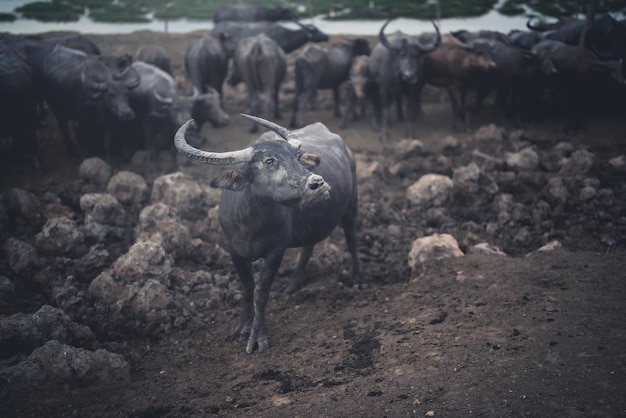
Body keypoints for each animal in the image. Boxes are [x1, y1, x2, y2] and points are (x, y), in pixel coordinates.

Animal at [173, 114, 364, 352]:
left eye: (297, 157)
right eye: (269, 161)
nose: (318, 184)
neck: (250, 223)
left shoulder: (276, 251)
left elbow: (261, 292)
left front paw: (257, 337)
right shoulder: (233, 251)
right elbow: (247, 287)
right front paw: (242, 328)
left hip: (351, 207)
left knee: (352, 240)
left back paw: (359, 280)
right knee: (309, 244)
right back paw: (293, 283)